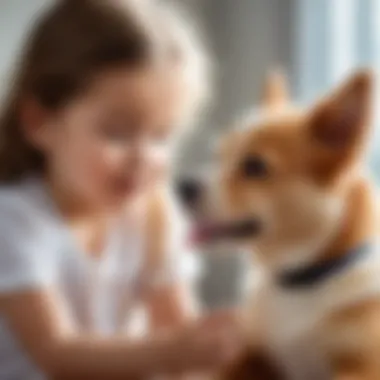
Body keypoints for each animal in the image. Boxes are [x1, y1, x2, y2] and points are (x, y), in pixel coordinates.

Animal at [177, 69, 380, 380]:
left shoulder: (361, 367)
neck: (297, 279)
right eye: (219, 156)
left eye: (255, 166)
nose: (181, 186)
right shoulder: (250, 354)